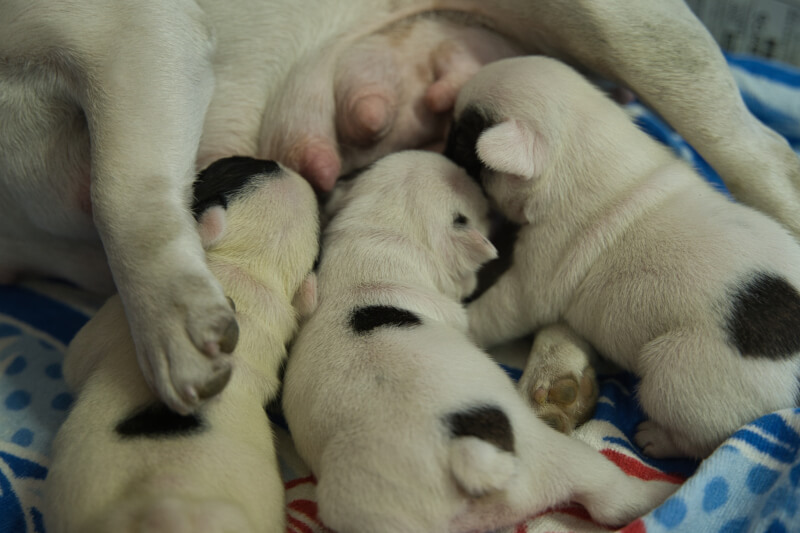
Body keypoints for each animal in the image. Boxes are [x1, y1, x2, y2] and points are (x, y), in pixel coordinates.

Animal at [1, 0, 800, 412]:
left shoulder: (131, 40)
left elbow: (123, 192)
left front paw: (170, 328)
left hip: (638, 35)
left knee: (762, 157)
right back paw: (560, 375)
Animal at [43, 157, 318, 532]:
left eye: (228, 165)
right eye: (252, 164)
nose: (282, 161)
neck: (247, 268)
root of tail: (170, 511)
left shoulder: (113, 320)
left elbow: (75, 359)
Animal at [282, 150, 676, 532]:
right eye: (483, 210)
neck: (378, 237)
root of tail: (466, 459)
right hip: (552, 456)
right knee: (612, 495)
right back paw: (662, 490)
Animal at [444, 56, 800, 460]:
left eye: (461, 138)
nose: (439, 142)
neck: (584, 147)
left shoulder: (538, 271)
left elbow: (499, 310)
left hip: (678, 376)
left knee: (704, 438)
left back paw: (656, 438)